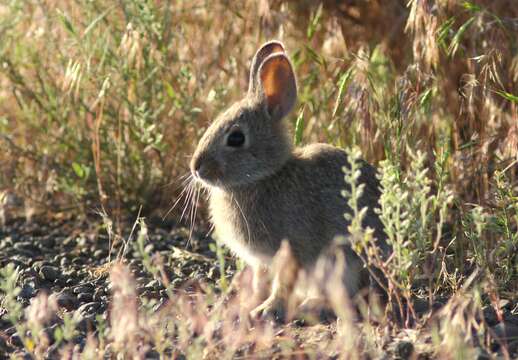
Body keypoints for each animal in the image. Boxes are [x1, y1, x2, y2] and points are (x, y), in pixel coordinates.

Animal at [190, 40, 390, 320]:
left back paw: (312, 305)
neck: (264, 177)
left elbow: (282, 284)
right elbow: (260, 283)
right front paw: (246, 305)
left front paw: (266, 310)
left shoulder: (291, 251)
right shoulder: (261, 262)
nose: (196, 167)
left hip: (343, 265)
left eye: (236, 138)